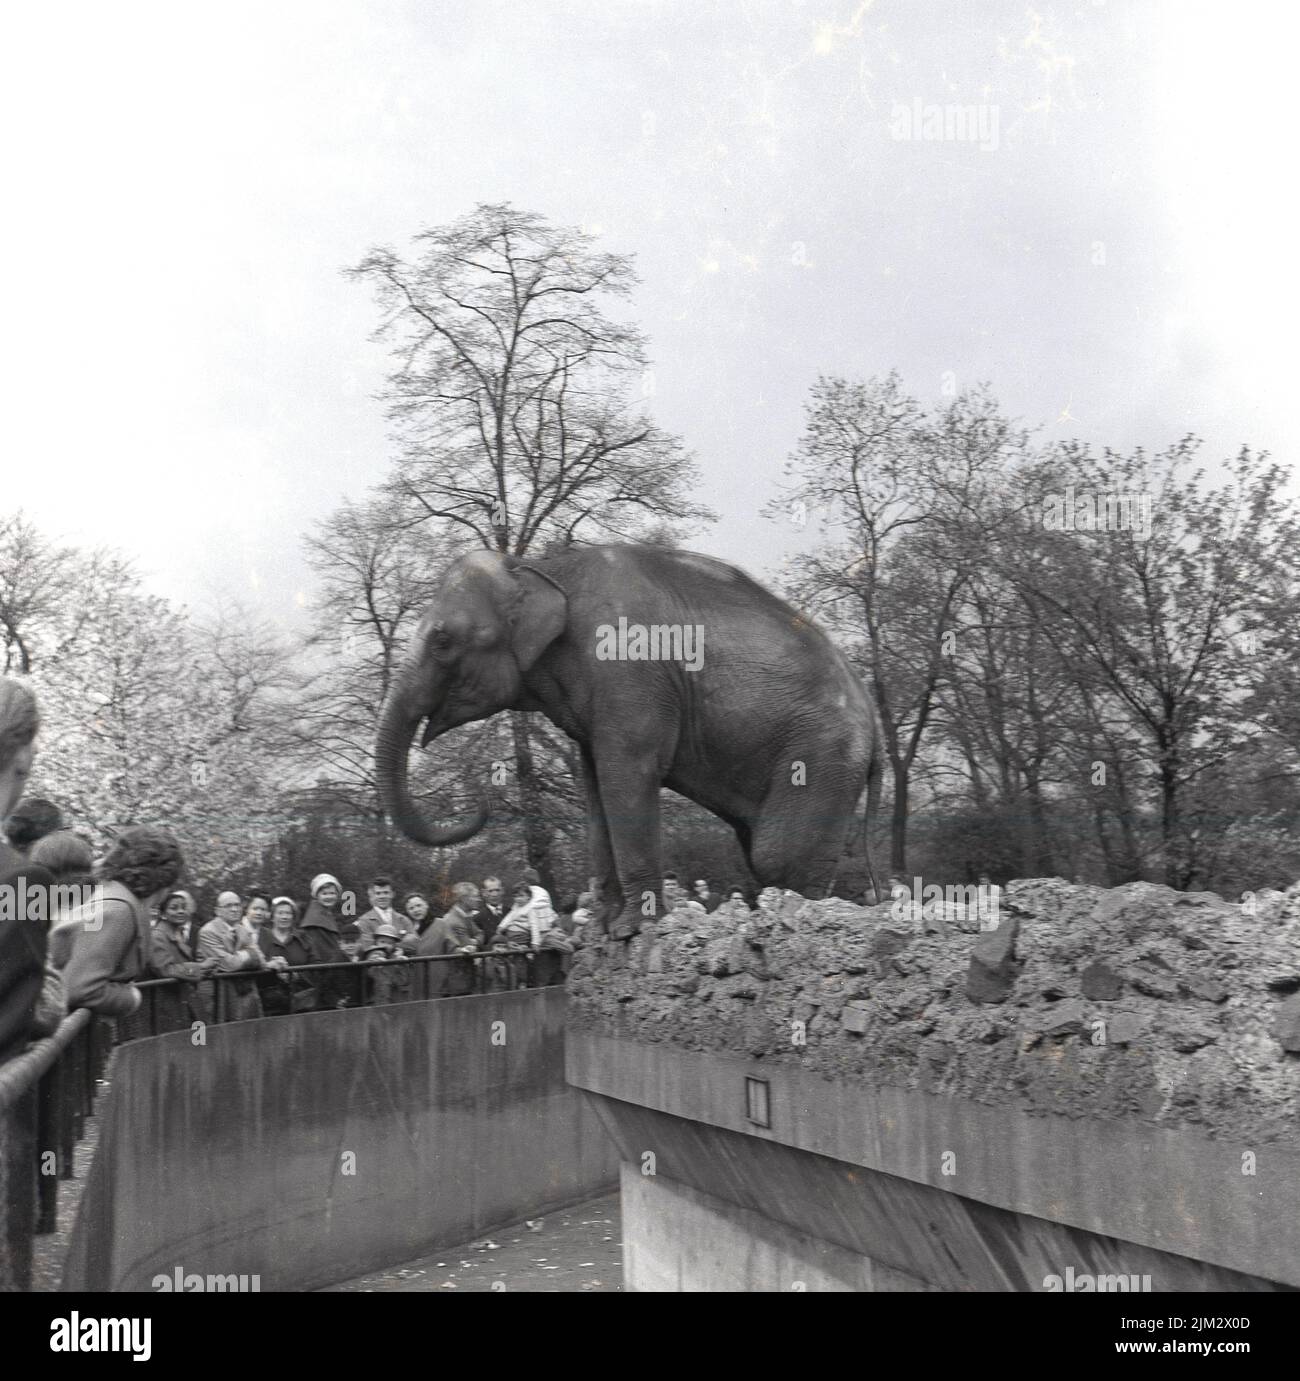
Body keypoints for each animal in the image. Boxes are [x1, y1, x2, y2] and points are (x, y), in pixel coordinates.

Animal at [375, 541, 884, 939]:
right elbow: (596, 786)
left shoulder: (629, 673)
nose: (482, 794)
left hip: (822, 755)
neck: (541, 566)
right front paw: (602, 930)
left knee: (776, 857)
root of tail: (875, 721)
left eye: (442, 641)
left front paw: (634, 930)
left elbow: (627, 777)